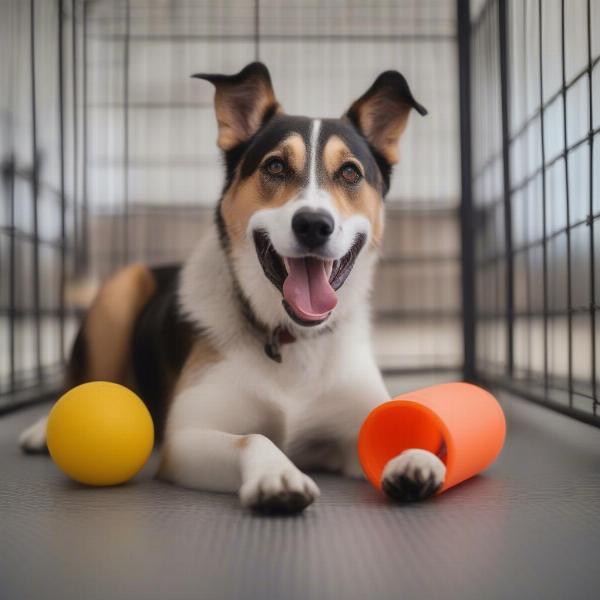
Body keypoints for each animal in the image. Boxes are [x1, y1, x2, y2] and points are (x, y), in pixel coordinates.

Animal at [19, 62, 446, 516]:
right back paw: (41, 428)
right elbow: (253, 438)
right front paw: (277, 475)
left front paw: (414, 456)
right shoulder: (186, 440)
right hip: (120, 290)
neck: (289, 338)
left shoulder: (352, 424)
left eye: (350, 172)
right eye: (275, 166)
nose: (313, 224)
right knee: (84, 381)